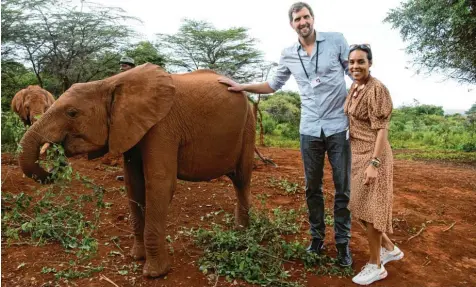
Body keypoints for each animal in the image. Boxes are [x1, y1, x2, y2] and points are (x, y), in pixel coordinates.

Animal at [17, 63, 256, 280]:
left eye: (72, 113)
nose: (56, 160)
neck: (110, 83)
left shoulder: (162, 126)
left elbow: (159, 183)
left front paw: (155, 273)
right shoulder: (130, 128)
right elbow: (133, 184)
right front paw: (136, 257)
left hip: (249, 124)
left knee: (241, 179)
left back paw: (242, 233)